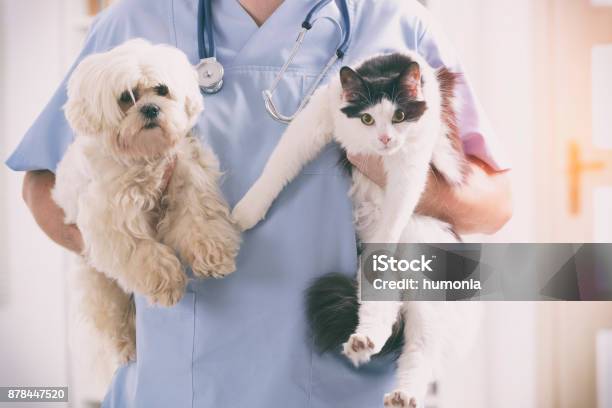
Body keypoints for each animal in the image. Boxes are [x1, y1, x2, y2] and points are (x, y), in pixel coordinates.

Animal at [52, 38, 240, 364]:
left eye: (161, 90)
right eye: (126, 98)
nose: (151, 108)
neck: (145, 157)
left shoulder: (187, 179)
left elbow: (200, 222)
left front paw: (213, 255)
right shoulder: (113, 221)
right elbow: (144, 252)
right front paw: (167, 283)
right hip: (98, 285)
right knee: (111, 317)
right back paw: (125, 345)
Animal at [232, 52, 480, 406]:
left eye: (399, 115)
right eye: (366, 119)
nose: (385, 139)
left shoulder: (411, 163)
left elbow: (399, 206)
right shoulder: (317, 117)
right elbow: (278, 165)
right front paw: (248, 211)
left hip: (428, 285)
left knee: (420, 351)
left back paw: (404, 393)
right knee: (382, 311)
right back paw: (363, 343)